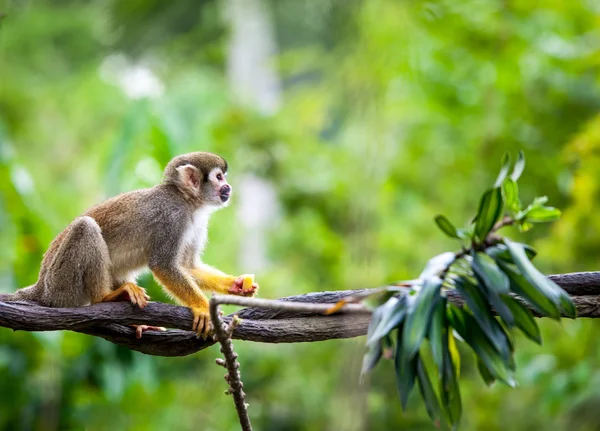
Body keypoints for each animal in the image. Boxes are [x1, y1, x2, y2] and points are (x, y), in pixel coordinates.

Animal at [0, 154, 258, 340]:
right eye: (219, 177)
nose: (228, 187)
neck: (187, 202)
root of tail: (40, 287)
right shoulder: (172, 217)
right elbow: (164, 265)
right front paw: (203, 307)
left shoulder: (197, 223)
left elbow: (188, 266)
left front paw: (235, 285)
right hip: (60, 285)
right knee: (86, 227)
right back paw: (106, 297)